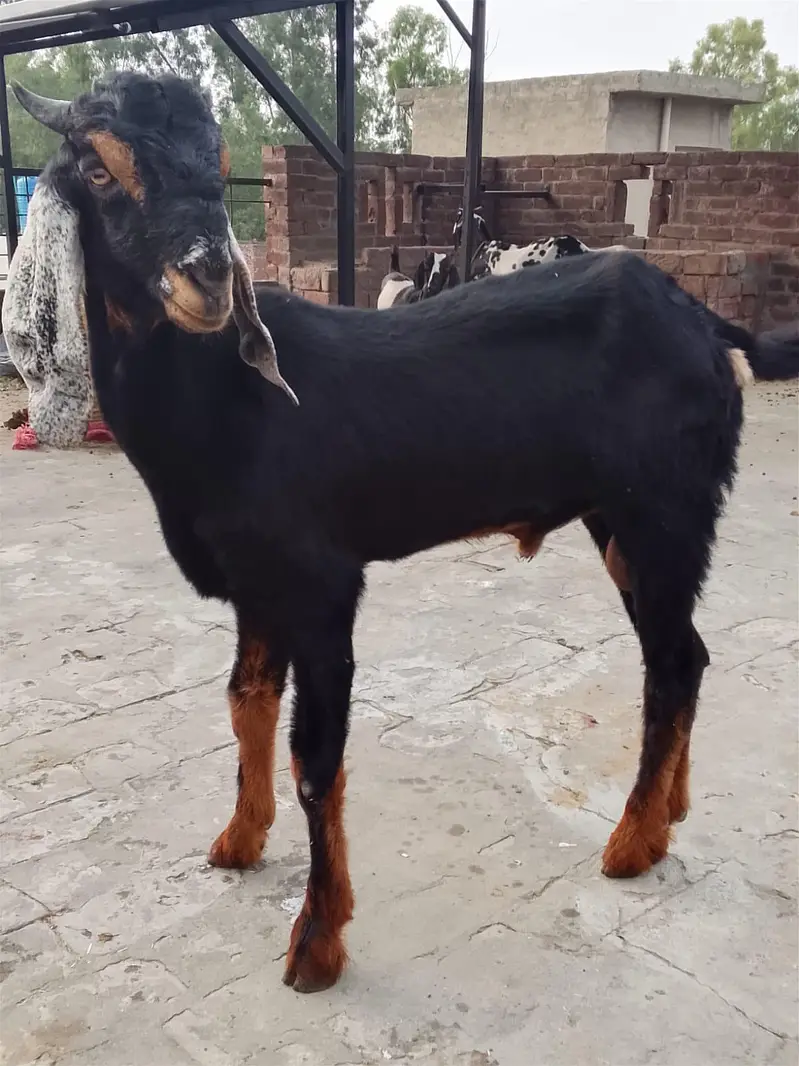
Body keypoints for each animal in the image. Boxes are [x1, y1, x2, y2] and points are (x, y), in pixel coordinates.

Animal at [4, 71, 765, 994]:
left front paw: (315, 944)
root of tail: (706, 326)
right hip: (627, 522)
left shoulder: (322, 585)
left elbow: (316, 760)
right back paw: (666, 814)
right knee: (685, 654)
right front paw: (237, 841)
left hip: (661, 511)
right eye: (99, 169)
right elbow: (245, 702)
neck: (224, 403)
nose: (210, 279)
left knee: (670, 663)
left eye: (219, 170)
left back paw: (631, 843)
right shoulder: (257, 584)